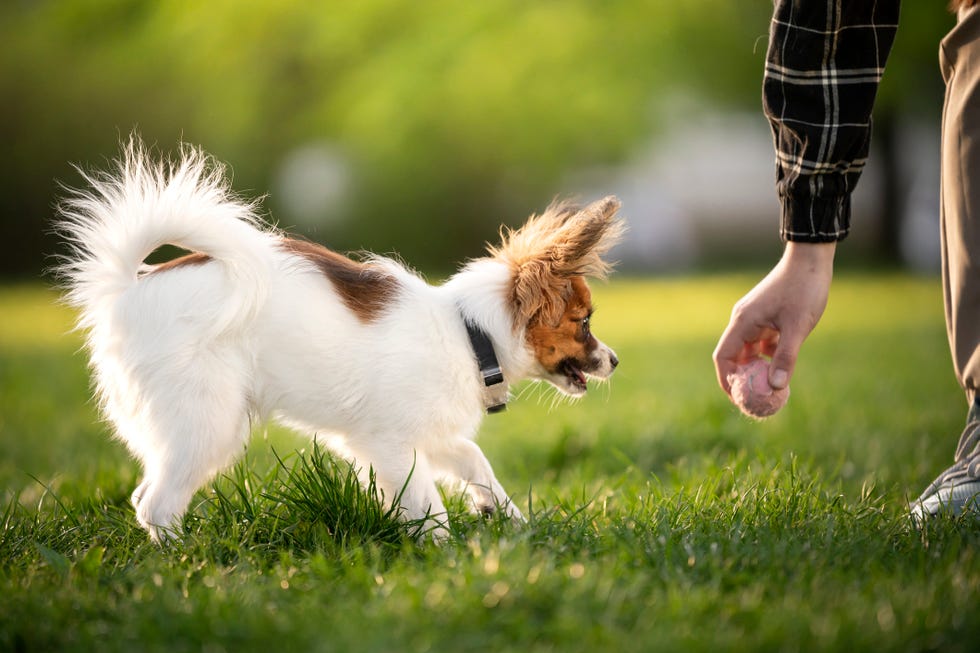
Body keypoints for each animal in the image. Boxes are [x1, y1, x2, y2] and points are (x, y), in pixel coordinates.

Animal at [55, 140, 620, 544]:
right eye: (584, 322)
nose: (615, 361)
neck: (468, 334)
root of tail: (127, 286)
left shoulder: (429, 434)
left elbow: (476, 461)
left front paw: (508, 520)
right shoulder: (387, 444)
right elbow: (427, 502)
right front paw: (447, 555)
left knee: (144, 496)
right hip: (208, 420)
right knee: (158, 503)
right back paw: (193, 565)